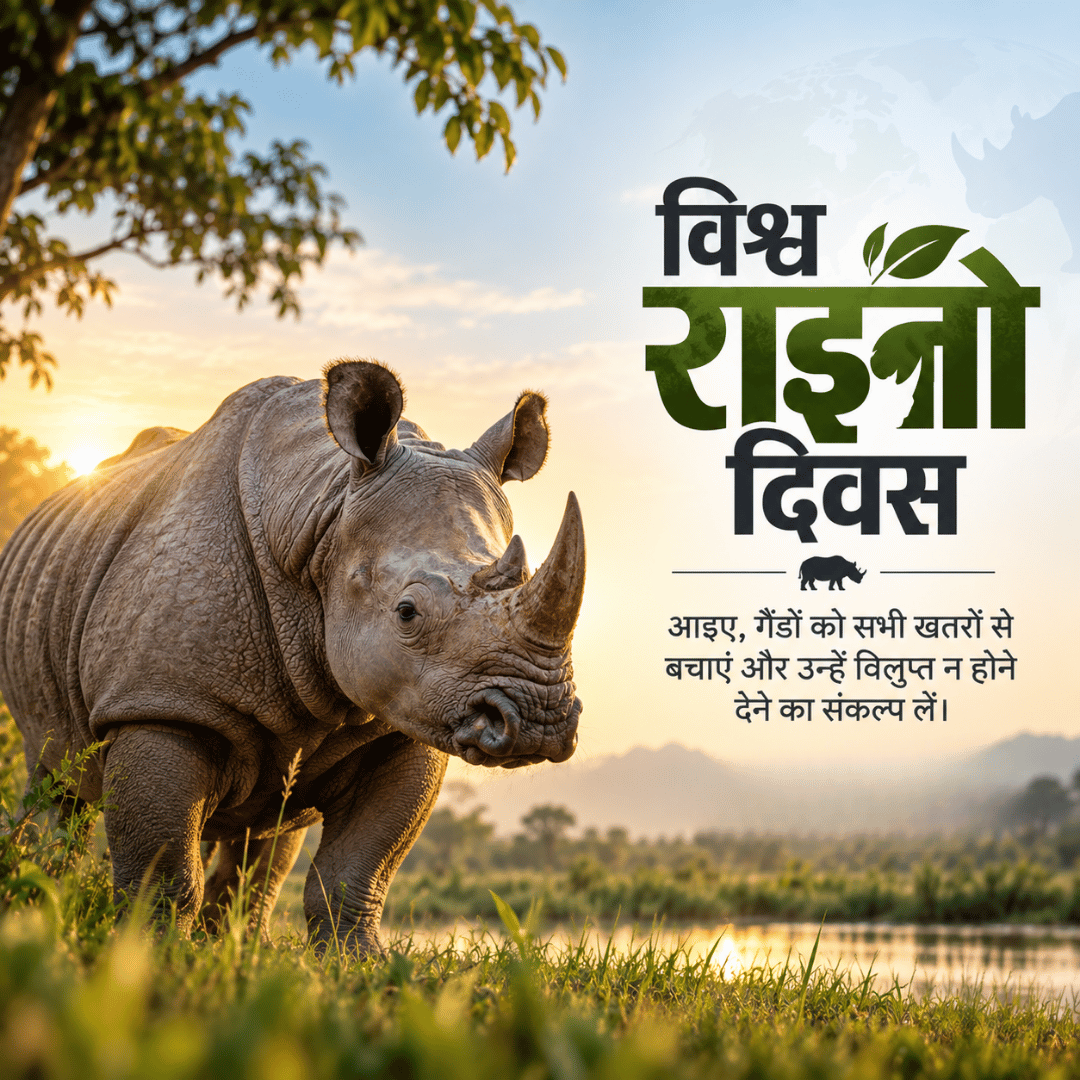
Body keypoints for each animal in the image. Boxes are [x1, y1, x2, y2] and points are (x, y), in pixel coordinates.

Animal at [0, 361, 584, 954]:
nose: (538, 721)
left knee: (270, 830)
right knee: (54, 777)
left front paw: (358, 964)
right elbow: (162, 867)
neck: (322, 513)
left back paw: (236, 945)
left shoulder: (401, 725)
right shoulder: (160, 701)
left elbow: (359, 868)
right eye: (407, 613)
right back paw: (39, 907)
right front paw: (147, 956)